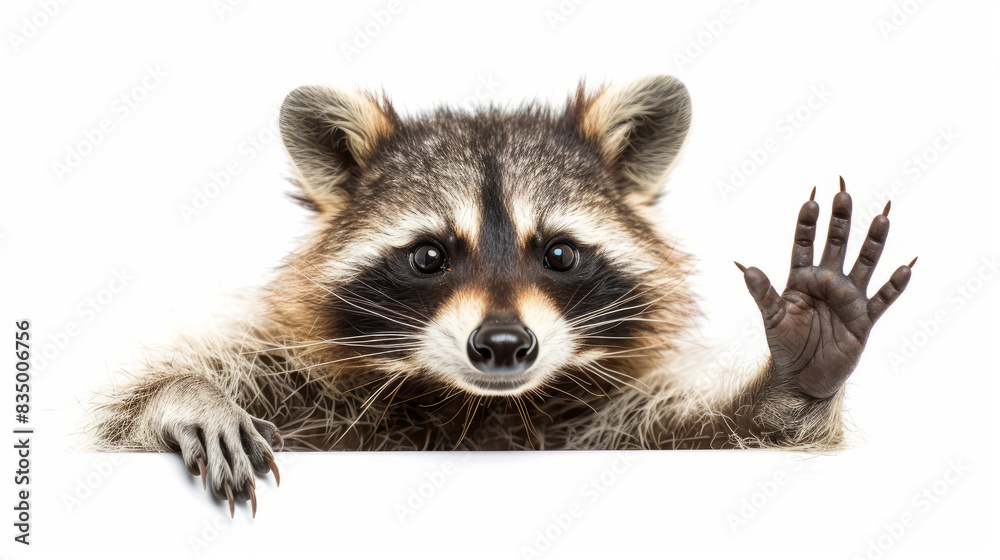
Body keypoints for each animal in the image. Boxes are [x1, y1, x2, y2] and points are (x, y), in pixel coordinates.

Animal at [89, 75, 913, 517]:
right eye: (428, 255)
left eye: (559, 253)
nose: (505, 345)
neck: (474, 410)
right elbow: (117, 426)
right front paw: (184, 396)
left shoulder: (603, 426)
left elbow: (723, 435)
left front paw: (798, 372)